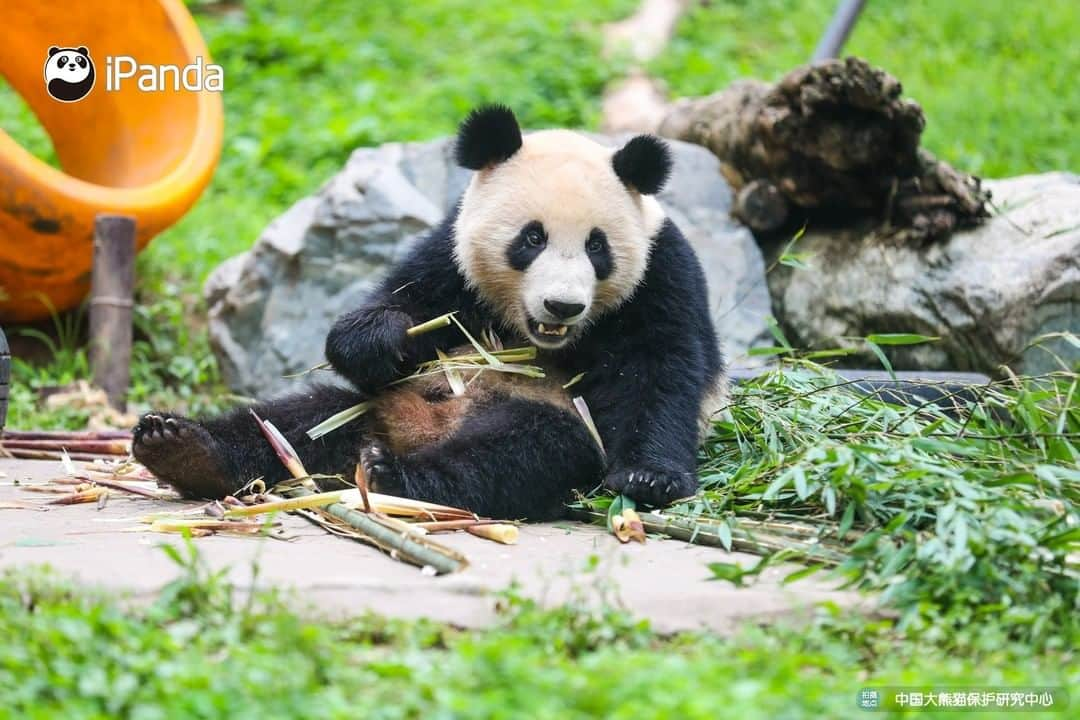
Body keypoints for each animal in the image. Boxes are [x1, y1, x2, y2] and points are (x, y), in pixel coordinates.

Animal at [135, 104, 725, 518]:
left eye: (597, 247)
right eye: (531, 238)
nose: (562, 304)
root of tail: (418, 430)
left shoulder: (662, 274)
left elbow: (658, 369)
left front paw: (648, 478)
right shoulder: (450, 256)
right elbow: (403, 304)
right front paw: (380, 337)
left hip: (535, 416)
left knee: (519, 454)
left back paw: (391, 474)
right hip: (377, 405)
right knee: (300, 419)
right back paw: (184, 447)